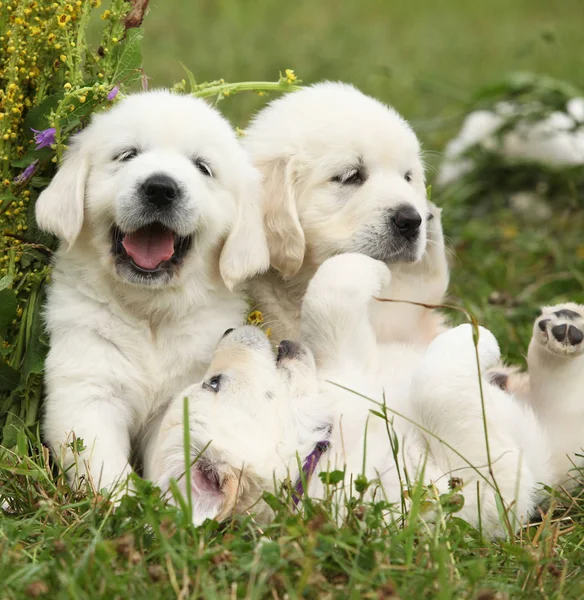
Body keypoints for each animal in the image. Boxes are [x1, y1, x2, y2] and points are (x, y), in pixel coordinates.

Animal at [37, 89, 270, 492]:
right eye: (127, 154)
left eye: (203, 167)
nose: (160, 189)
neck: (150, 312)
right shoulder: (87, 390)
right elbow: (104, 468)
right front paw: (124, 504)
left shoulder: (186, 394)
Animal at [148, 254, 560, 540]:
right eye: (214, 383)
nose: (229, 330)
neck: (325, 438)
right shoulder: (482, 489)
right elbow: (434, 383)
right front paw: (476, 339)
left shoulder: (350, 365)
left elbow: (329, 291)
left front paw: (377, 268)